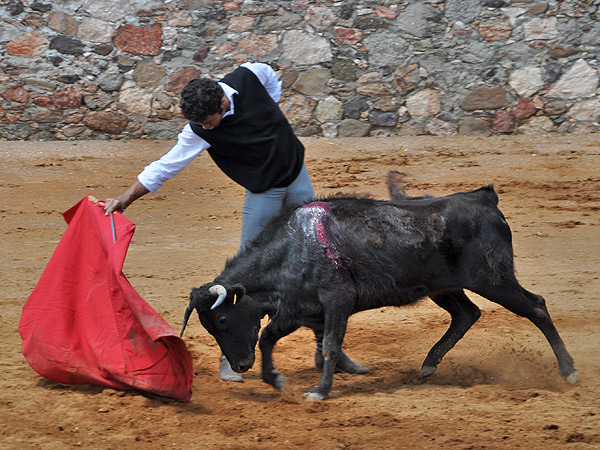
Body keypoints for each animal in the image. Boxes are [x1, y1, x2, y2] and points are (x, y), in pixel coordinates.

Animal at [182, 174, 576, 400]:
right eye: (211, 327)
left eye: (221, 321)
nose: (240, 365)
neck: (291, 247)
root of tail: (484, 198)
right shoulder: (297, 309)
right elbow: (268, 338)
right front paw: (276, 381)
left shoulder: (337, 300)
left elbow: (329, 345)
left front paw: (320, 390)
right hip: (444, 288)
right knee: (467, 314)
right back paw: (428, 365)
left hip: (495, 280)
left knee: (535, 306)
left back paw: (568, 371)